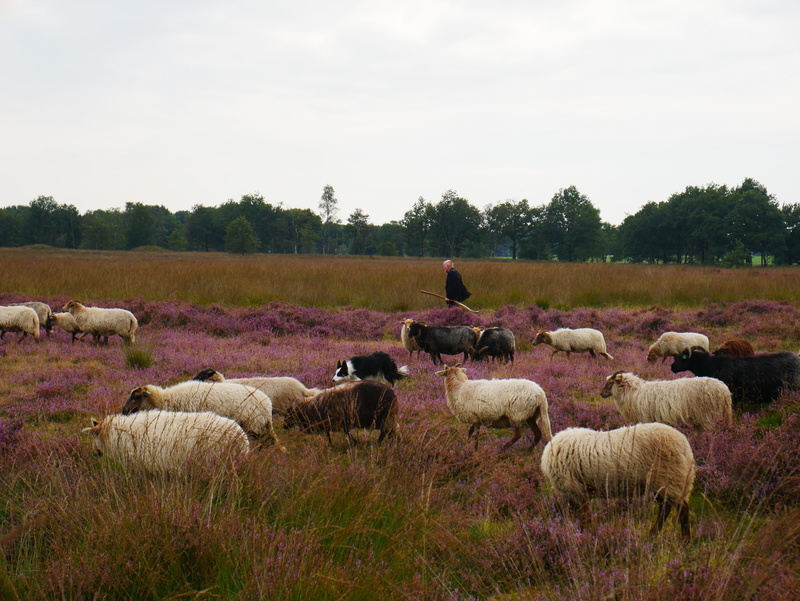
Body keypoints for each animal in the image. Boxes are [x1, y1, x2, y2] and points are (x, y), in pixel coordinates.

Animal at [122, 380, 285, 451]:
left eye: (135, 397)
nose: (124, 411)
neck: (167, 399)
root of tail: (267, 403)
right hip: (259, 425)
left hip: (254, 425)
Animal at [540, 424, 696, 539]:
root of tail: (685, 446)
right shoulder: (577, 492)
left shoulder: (577, 489)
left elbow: (585, 517)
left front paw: (586, 535)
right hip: (662, 483)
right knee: (665, 508)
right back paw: (652, 535)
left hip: (671, 478)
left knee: (681, 508)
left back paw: (685, 541)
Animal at [600, 371, 733, 431]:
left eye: (611, 383)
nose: (601, 394)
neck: (632, 392)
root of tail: (724, 390)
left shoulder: (645, 419)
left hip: (708, 416)